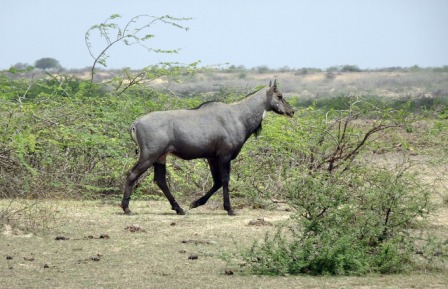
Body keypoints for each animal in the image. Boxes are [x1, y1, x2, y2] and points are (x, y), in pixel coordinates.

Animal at [121, 80, 294, 215]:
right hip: (149, 155)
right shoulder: (225, 155)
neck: (239, 115)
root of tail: (135, 123)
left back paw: (179, 209)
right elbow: (224, 180)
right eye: (279, 96)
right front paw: (229, 209)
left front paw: (195, 203)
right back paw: (126, 208)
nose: (291, 111)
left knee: (160, 180)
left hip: (160, 157)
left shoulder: (212, 157)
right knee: (132, 174)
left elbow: (217, 181)